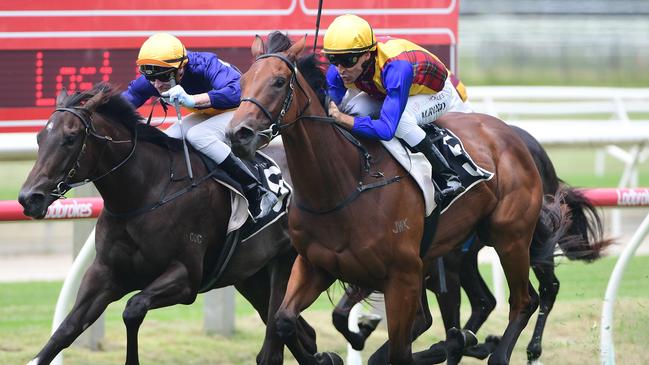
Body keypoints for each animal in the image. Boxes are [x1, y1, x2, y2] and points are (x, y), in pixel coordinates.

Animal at [17, 84, 316, 362]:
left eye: (70, 138)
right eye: (40, 137)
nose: (29, 198)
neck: (144, 194)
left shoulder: (186, 277)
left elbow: (133, 308)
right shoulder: (105, 274)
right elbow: (65, 330)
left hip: (286, 262)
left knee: (277, 339)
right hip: (251, 276)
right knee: (301, 332)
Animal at [225, 32, 544, 364]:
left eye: (278, 81)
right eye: (243, 80)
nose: (238, 133)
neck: (342, 186)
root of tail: (509, 133)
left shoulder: (401, 277)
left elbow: (400, 352)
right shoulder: (315, 265)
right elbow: (284, 320)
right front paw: (330, 354)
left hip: (510, 236)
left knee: (524, 300)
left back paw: (494, 350)